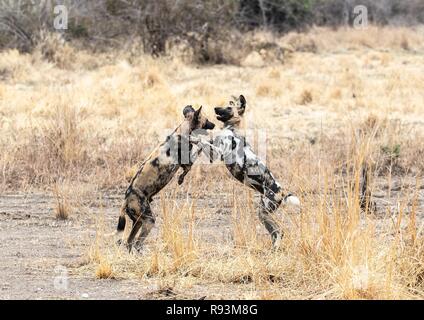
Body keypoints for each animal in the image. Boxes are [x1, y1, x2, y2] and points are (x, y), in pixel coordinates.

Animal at [117, 106, 214, 254]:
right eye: (206, 120)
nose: (214, 124)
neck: (183, 131)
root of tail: (126, 199)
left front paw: (180, 179)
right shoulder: (187, 161)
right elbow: (198, 151)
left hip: (138, 222)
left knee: (129, 242)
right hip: (149, 220)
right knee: (137, 243)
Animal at [208, 95, 300, 250]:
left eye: (229, 107)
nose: (215, 108)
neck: (232, 129)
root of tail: (281, 191)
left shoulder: (217, 152)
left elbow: (201, 141)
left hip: (265, 212)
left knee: (279, 232)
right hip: (262, 214)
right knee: (276, 232)